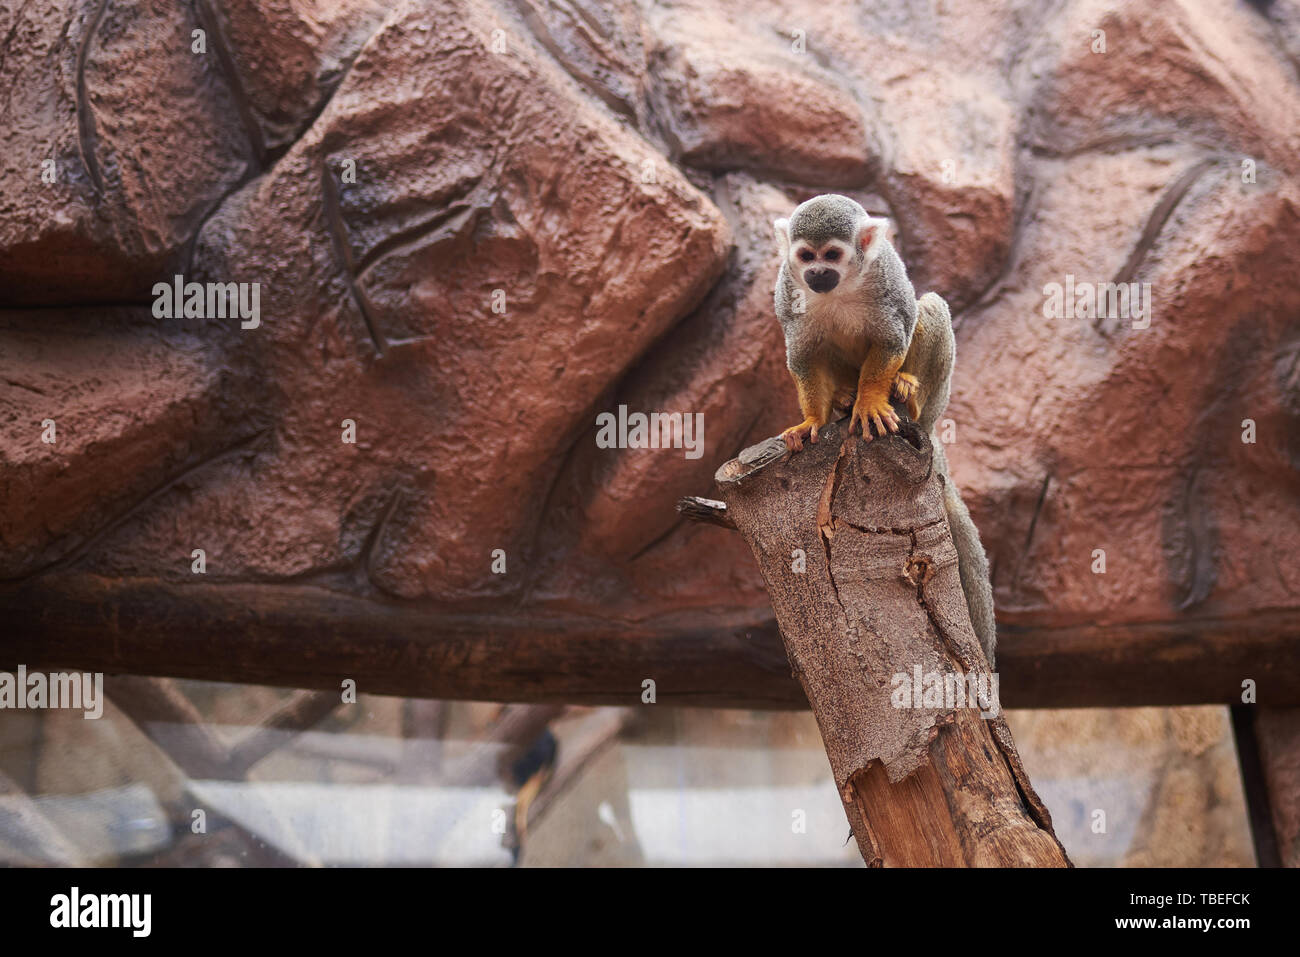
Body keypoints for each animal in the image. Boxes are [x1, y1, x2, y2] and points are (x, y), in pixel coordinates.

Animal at [772, 194, 997, 666]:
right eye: (805, 257)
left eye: (832, 255)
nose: (817, 275)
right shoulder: (788, 289)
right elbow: (803, 355)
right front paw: (814, 420)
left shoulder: (885, 281)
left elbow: (893, 336)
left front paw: (873, 400)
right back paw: (842, 401)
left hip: (935, 405)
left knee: (929, 306)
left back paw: (905, 391)